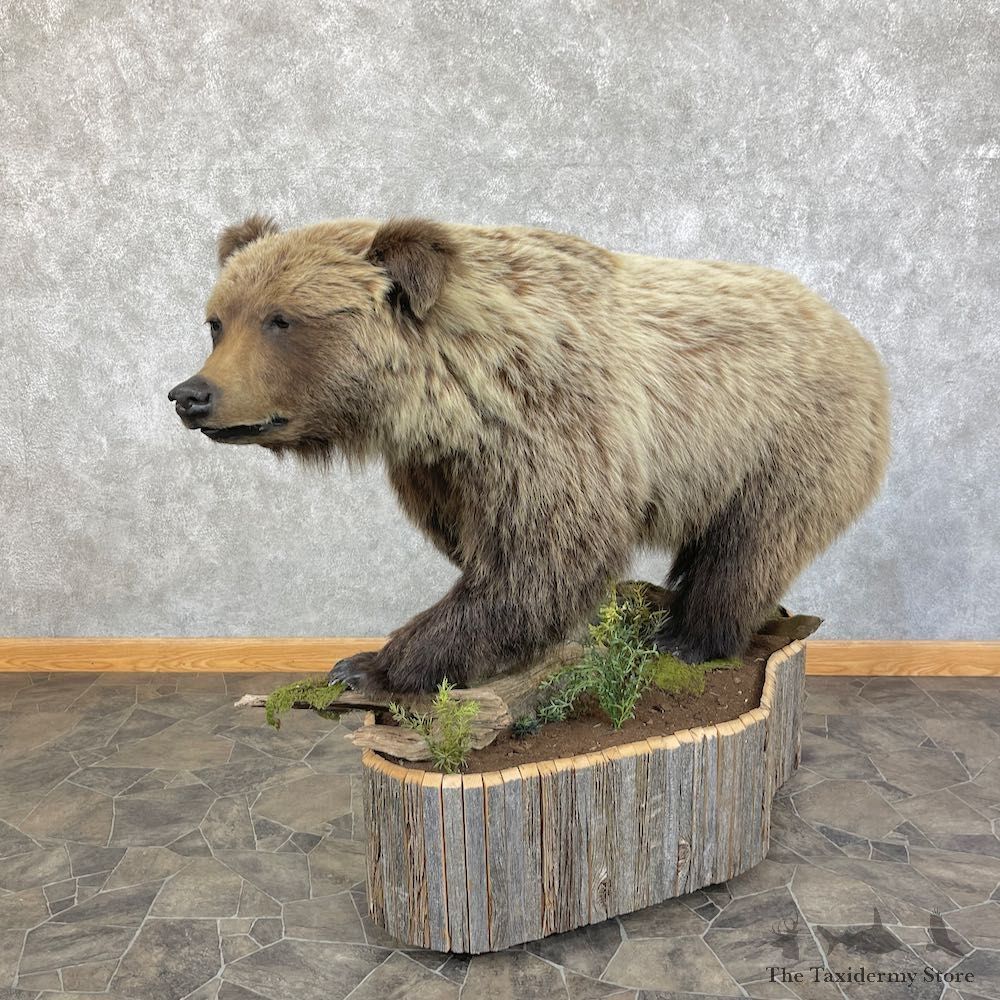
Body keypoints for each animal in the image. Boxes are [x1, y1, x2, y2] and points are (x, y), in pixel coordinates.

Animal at [168, 215, 890, 693]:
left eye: (282, 319)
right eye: (218, 320)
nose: (191, 395)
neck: (457, 396)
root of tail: (855, 336)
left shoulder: (555, 425)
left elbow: (539, 559)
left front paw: (369, 666)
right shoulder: (444, 468)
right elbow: (486, 550)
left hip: (785, 440)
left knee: (748, 547)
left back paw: (687, 636)